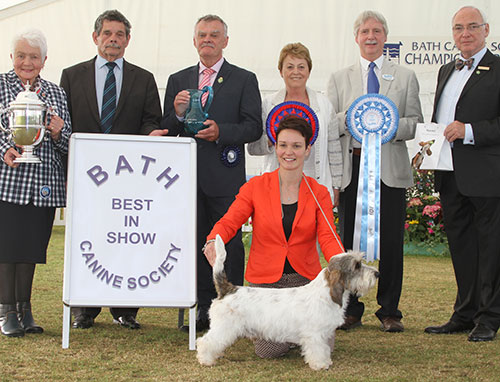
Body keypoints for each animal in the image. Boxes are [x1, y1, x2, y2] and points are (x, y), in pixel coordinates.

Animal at [195, 234, 378, 372]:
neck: (325, 293)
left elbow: (325, 349)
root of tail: (227, 289)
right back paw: (206, 359)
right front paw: (320, 365)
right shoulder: (314, 335)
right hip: (224, 327)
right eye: (357, 266)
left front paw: (326, 361)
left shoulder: (322, 334)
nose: (377, 273)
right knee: (205, 341)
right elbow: (318, 350)